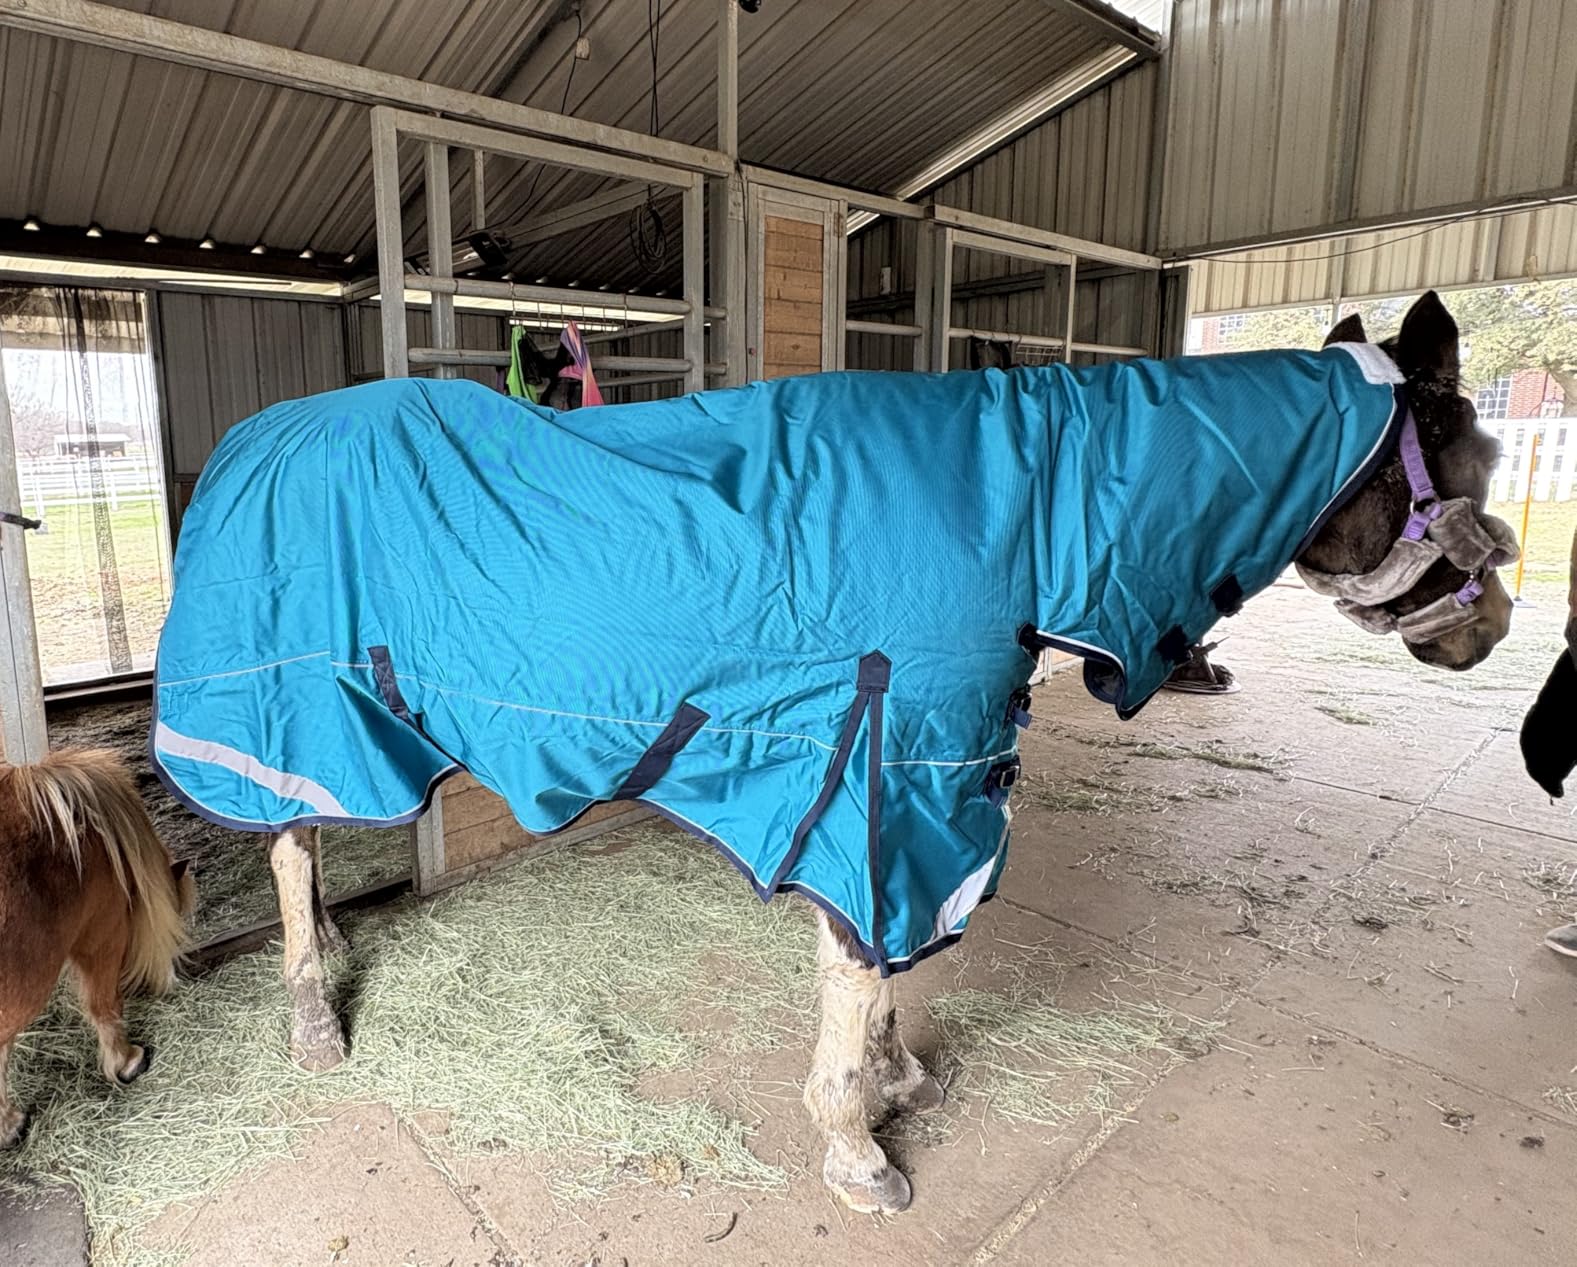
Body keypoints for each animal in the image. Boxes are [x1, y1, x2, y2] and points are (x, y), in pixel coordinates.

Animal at [156, 290, 1510, 1214]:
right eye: (1470, 455)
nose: (1489, 626)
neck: (1015, 504)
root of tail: (247, 443)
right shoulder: (888, 774)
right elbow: (861, 967)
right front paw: (859, 1147)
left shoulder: (901, 784)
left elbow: (881, 972)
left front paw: (898, 1080)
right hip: (287, 710)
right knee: (285, 845)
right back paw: (311, 1013)